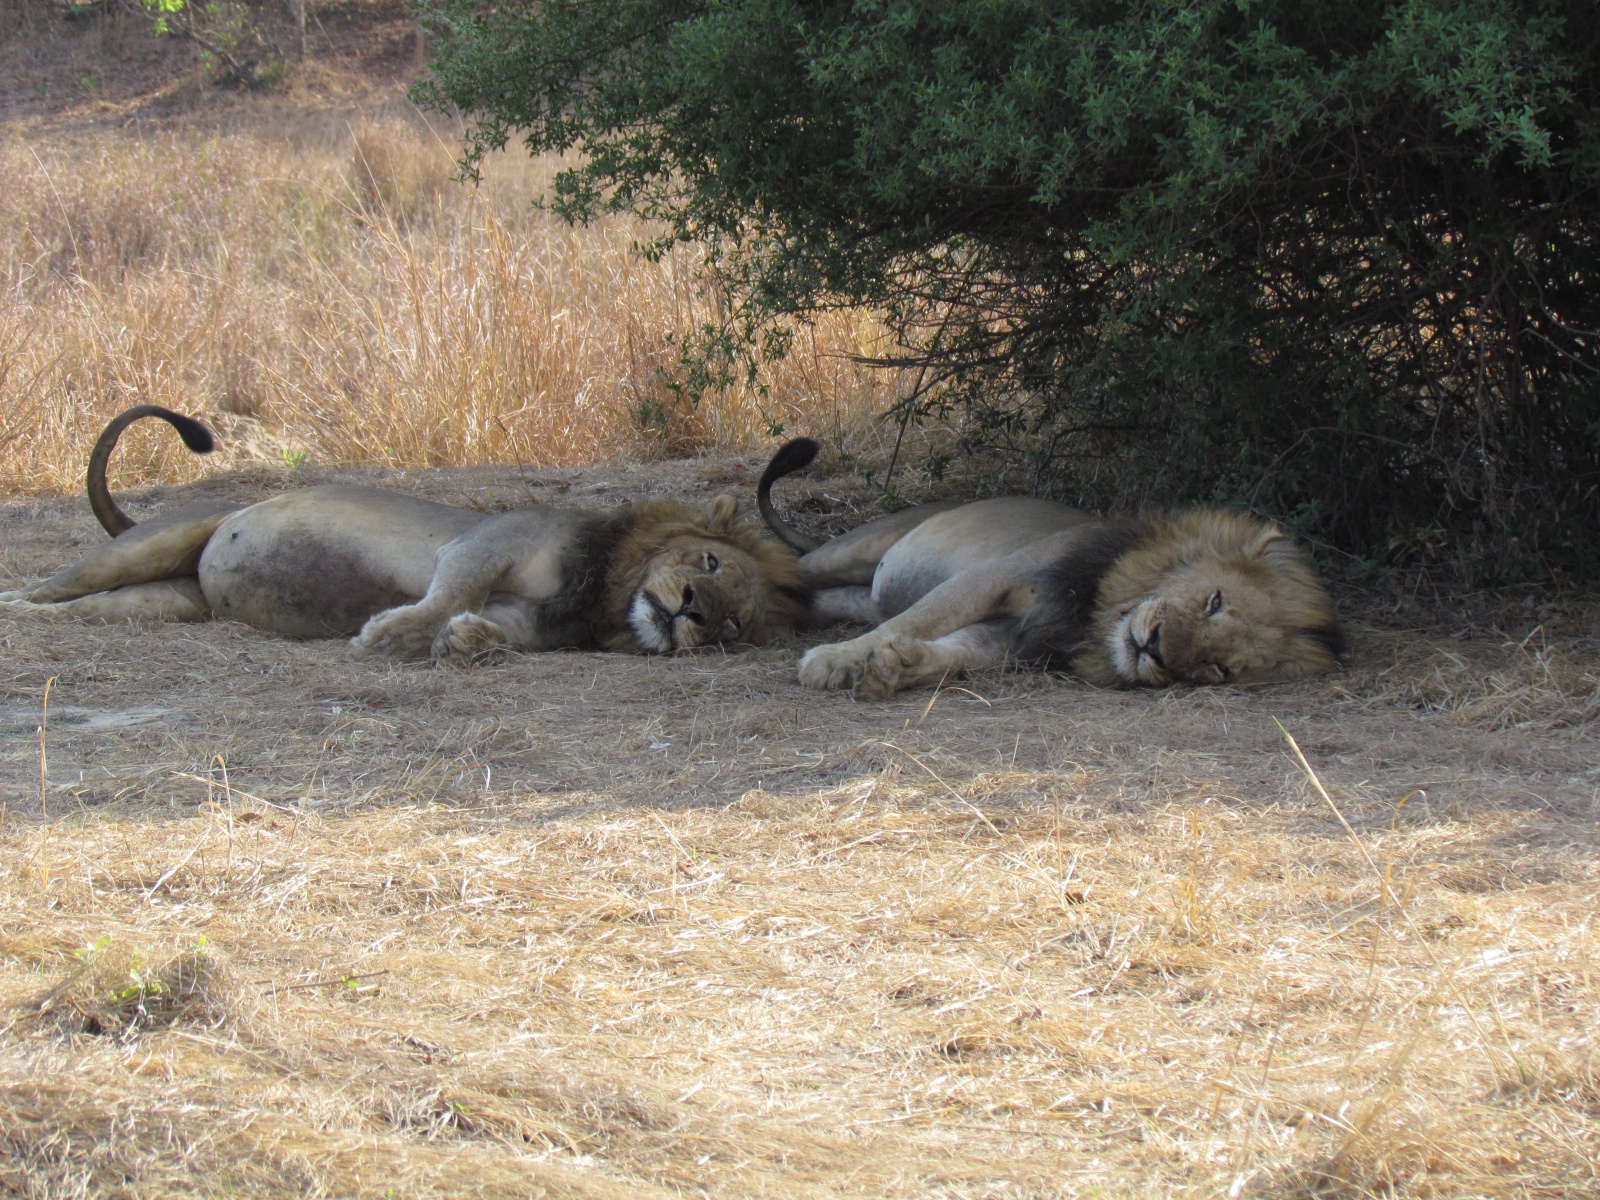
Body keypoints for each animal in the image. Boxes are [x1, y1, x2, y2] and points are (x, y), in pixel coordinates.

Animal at [0, 406, 810, 662]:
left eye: (734, 626)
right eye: (706, 562)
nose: (693, 612)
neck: (605, 595)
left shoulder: (532, 620)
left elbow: (487, 629)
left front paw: (468, 643)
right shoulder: (489, 543)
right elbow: (444, 594)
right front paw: (388, 634)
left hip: (165, 602)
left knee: (93, 610)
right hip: (157, 539)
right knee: (51, 588)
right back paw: (13, 608)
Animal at [755, 439, 1345, 699]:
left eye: (1220, 669)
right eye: (1214, 601)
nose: (1154, 650)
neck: (1095, 610)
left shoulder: (1017, 639)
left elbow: (954, 654)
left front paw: (894, 667)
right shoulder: (996, 577)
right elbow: (920, 618)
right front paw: (832, 662)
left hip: (856, 595)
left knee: (814, 601)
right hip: (853, 550)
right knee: (794, 567)